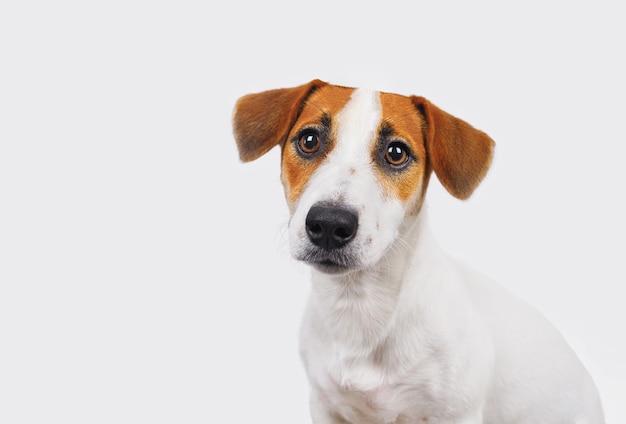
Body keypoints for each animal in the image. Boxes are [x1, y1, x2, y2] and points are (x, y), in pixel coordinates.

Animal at [232, 80, 604, 424]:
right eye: (309, 141)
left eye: (396, 152)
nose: (328, 224)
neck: (361, 306)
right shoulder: (325, 405)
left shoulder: (456, 414)